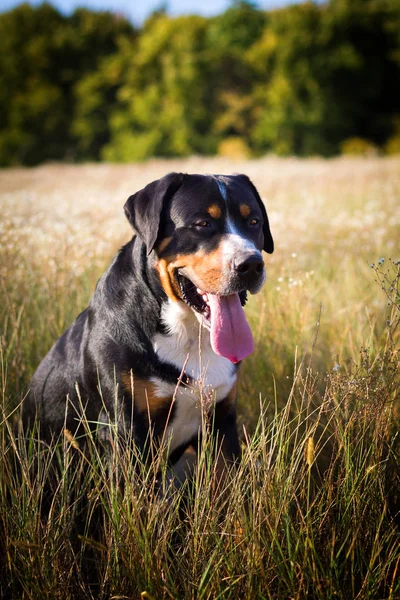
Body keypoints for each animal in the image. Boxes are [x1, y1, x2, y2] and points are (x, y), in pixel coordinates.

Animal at [24, 172, 272, 482]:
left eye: (254, 222)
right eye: (202, 224)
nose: (251, 264)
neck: (189, 334)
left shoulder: (222, 419)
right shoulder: (127, 431)